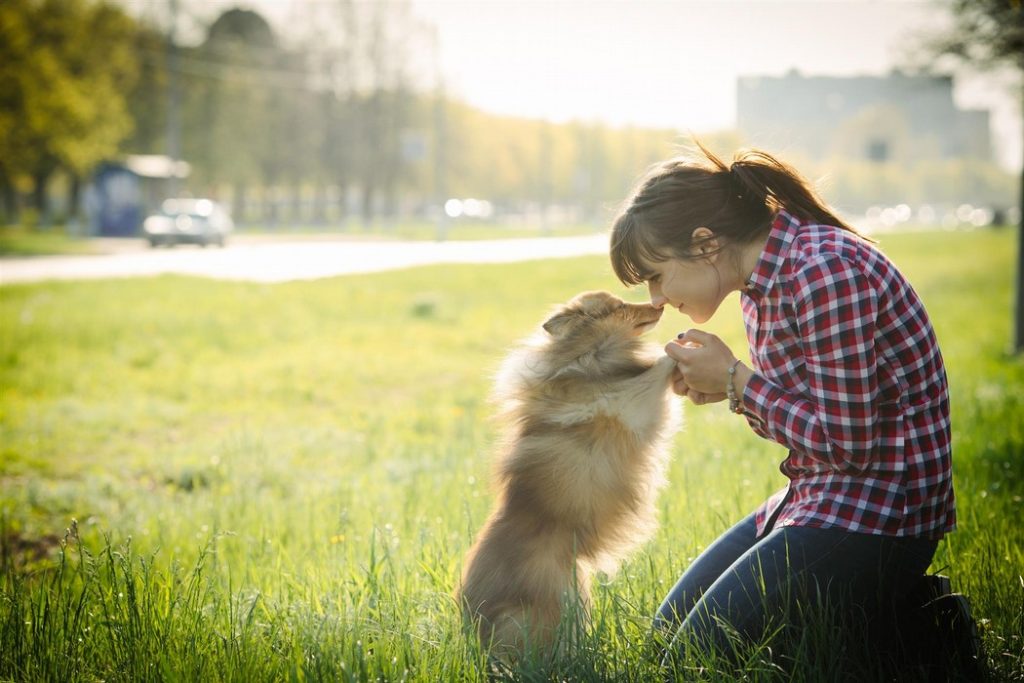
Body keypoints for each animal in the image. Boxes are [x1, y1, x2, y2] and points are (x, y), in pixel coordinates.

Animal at [456, 290, 679, 659]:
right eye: (618, 307)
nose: (658, 304)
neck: (588, 356)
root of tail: (474, 630)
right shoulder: (626, 406)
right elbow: (652, 373)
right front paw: (676, 351)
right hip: (549, 610)